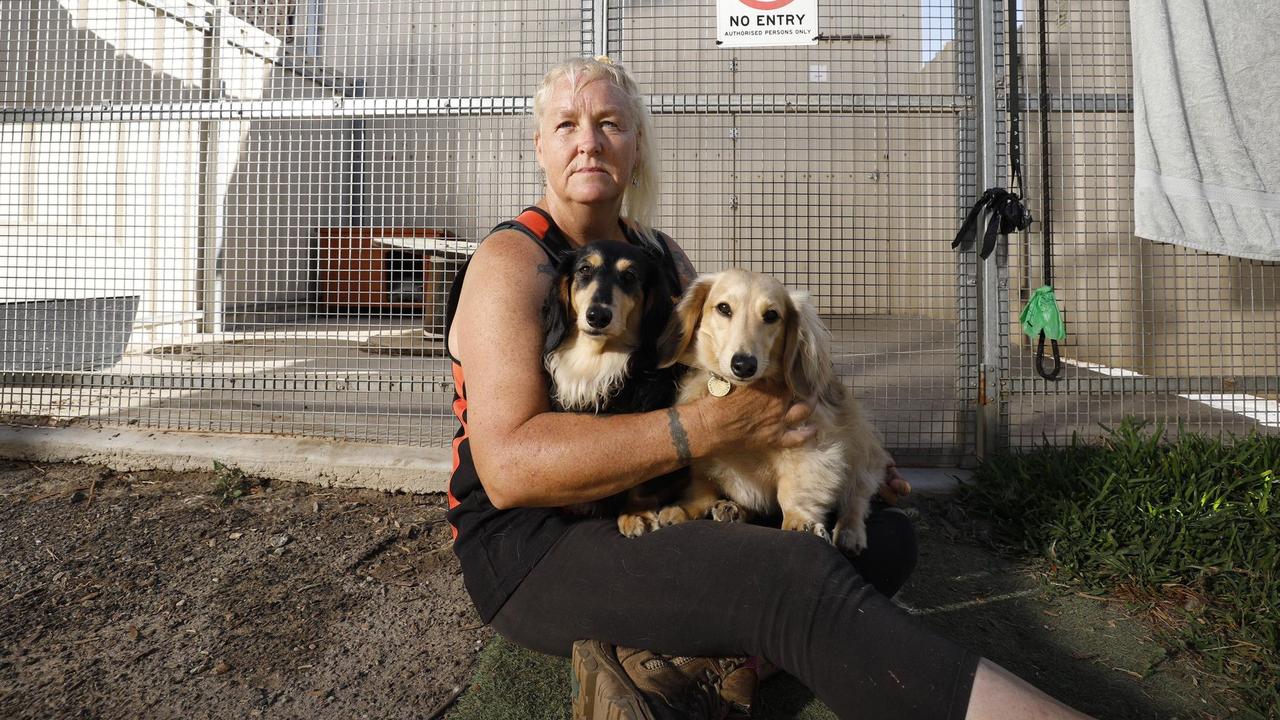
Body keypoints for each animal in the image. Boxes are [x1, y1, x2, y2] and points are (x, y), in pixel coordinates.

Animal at [545, 239, 696, 532]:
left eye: (630, 275)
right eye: (584, 269)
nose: (597, 316)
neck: (598, 357)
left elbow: (643, 476)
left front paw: (636, 512)